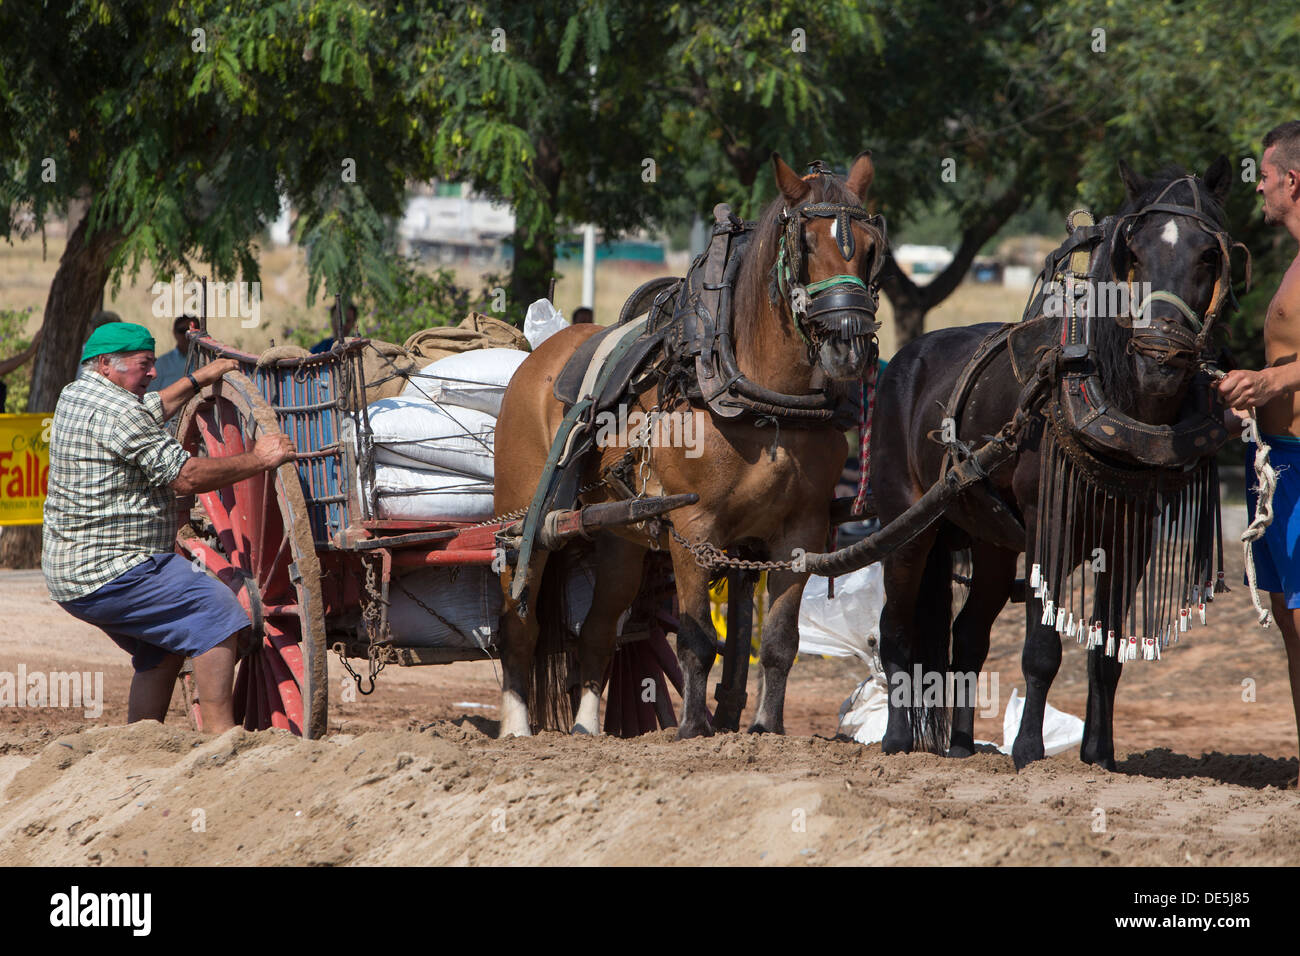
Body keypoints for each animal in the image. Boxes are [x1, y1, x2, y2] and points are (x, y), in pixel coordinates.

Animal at [493, 155, 883, 738]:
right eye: (806, 244)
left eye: (871, 246)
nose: (849, 344)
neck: (761, 404)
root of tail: (533, 361)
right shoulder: (693, 528)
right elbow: (698, 638)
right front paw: (694, 729)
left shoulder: (802, 530)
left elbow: (778, 642)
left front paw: (765, 729)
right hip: (524, 524)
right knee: (519, 625)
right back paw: (517, 729)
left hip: (619, 536)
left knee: (600, 630)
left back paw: (586, 729)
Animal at [868, 157, 1232, 770]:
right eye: (1134, 252)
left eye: (1210, 255)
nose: (1159, 358)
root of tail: (904, 359)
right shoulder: (1050, 529)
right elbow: (1041, 648)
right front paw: (1028, 750)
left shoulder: (1130, 539)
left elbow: (1106, 654)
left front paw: (1099, 757)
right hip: (907, 526)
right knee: (895, 628)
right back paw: (896, 743)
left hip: (990, 542)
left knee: (968, 635)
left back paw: (961, 746)